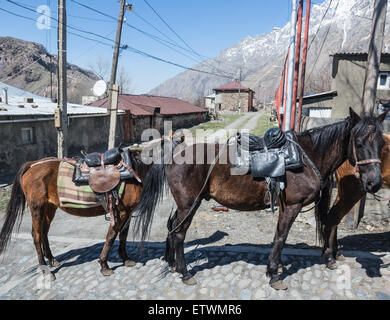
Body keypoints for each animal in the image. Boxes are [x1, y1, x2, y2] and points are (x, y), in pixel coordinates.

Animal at [0, 149, 149, 282]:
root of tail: (32, 164)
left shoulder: (128, 212)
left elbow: (123, 235)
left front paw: (126, 259)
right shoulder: (122, 212)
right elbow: (111, 236)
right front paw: (104, 266)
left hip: (49, 207)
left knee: (44, 232)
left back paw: (52, 260)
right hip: (37, 207)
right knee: (36, 236)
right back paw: (46, 272)